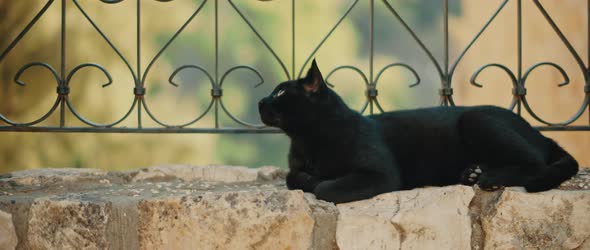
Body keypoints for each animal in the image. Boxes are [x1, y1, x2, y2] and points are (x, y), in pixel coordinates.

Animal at [258, 59, 580, 204]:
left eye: (281, 93)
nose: (261, 101)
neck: (307, 139)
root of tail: (541, 134)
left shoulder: (380, 174)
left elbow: (325, 188)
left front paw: (318, 181)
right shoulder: (295, 168)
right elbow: (293, 177)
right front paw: (308, 177)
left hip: (476, 118)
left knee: (534, 163)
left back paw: (488, 177)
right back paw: (472, 173)